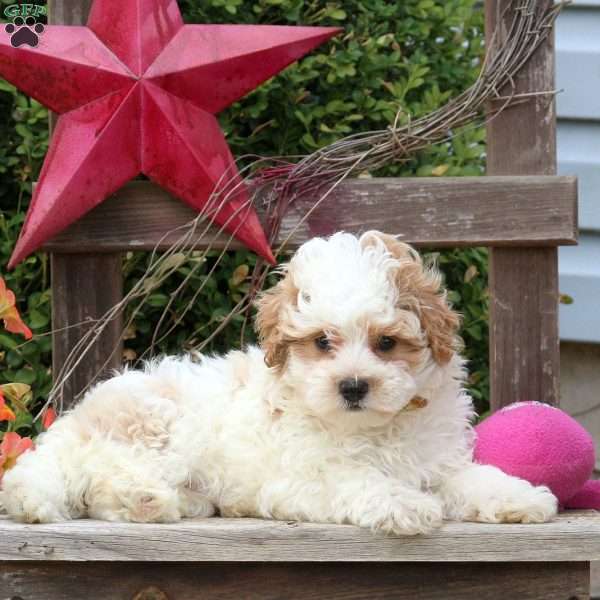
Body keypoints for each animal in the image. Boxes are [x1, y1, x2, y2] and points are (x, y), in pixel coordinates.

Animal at [0, 232, 556, 532]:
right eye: (323, 341)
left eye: (386, 343)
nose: (353, 386)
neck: (373, 429)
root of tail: (71, 425)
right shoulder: (301, 478)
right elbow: (356, 480)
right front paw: (404, 504)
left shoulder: (436, 460)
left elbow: (472, 479)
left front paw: (523, 498)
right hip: (157, 429)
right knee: (102, 483)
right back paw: (148, 498)